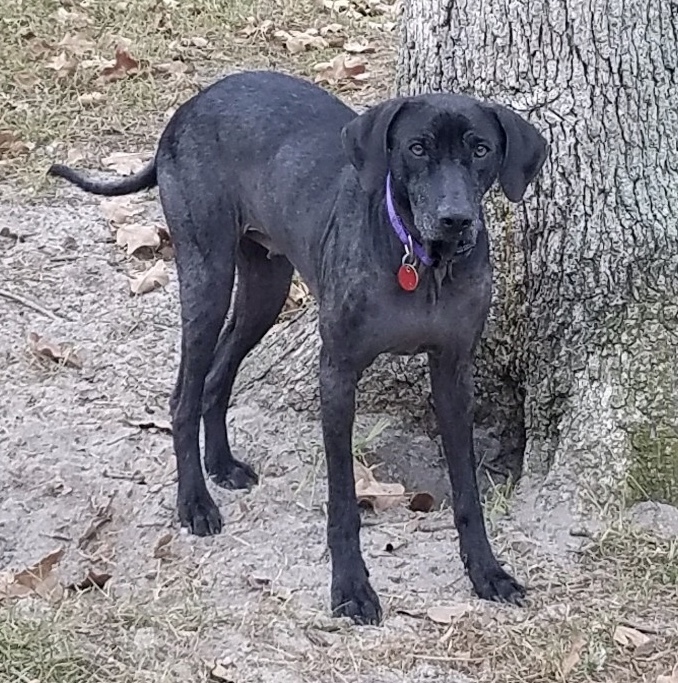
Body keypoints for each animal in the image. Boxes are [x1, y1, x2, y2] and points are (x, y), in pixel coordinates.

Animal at [49, 69, 548, 624]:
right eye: (416, 148)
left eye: (481, 149)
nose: (455, 219)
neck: (423, 263)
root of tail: (191, 104)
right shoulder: (338, 374)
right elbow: (343, 500)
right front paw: (350, 587)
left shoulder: (454, 372)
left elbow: (468, 491)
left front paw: (487, 571)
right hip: (208, 275)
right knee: (183, 394)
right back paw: (195, 502)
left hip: (266, 286)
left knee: (218, 376)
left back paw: (221, 465)